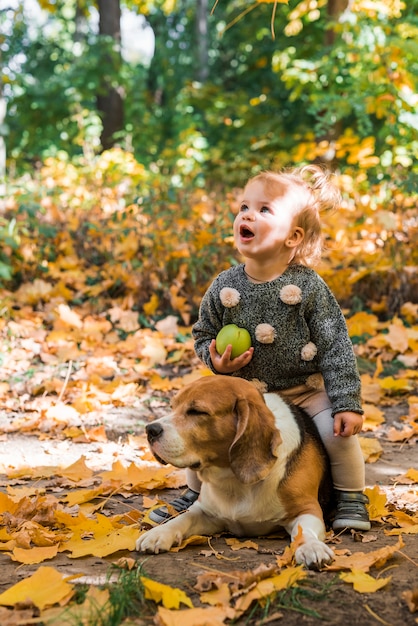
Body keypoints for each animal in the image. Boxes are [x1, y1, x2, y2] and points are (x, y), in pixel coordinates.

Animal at [136, 372, 334, 568]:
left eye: (197, 411)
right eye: (172, 407)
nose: (150, 429)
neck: (233, 480)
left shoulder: (307, 509)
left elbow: (304, 531)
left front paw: (311, 546)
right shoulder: (205, 511)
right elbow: (183, 518)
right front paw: (159, 533)